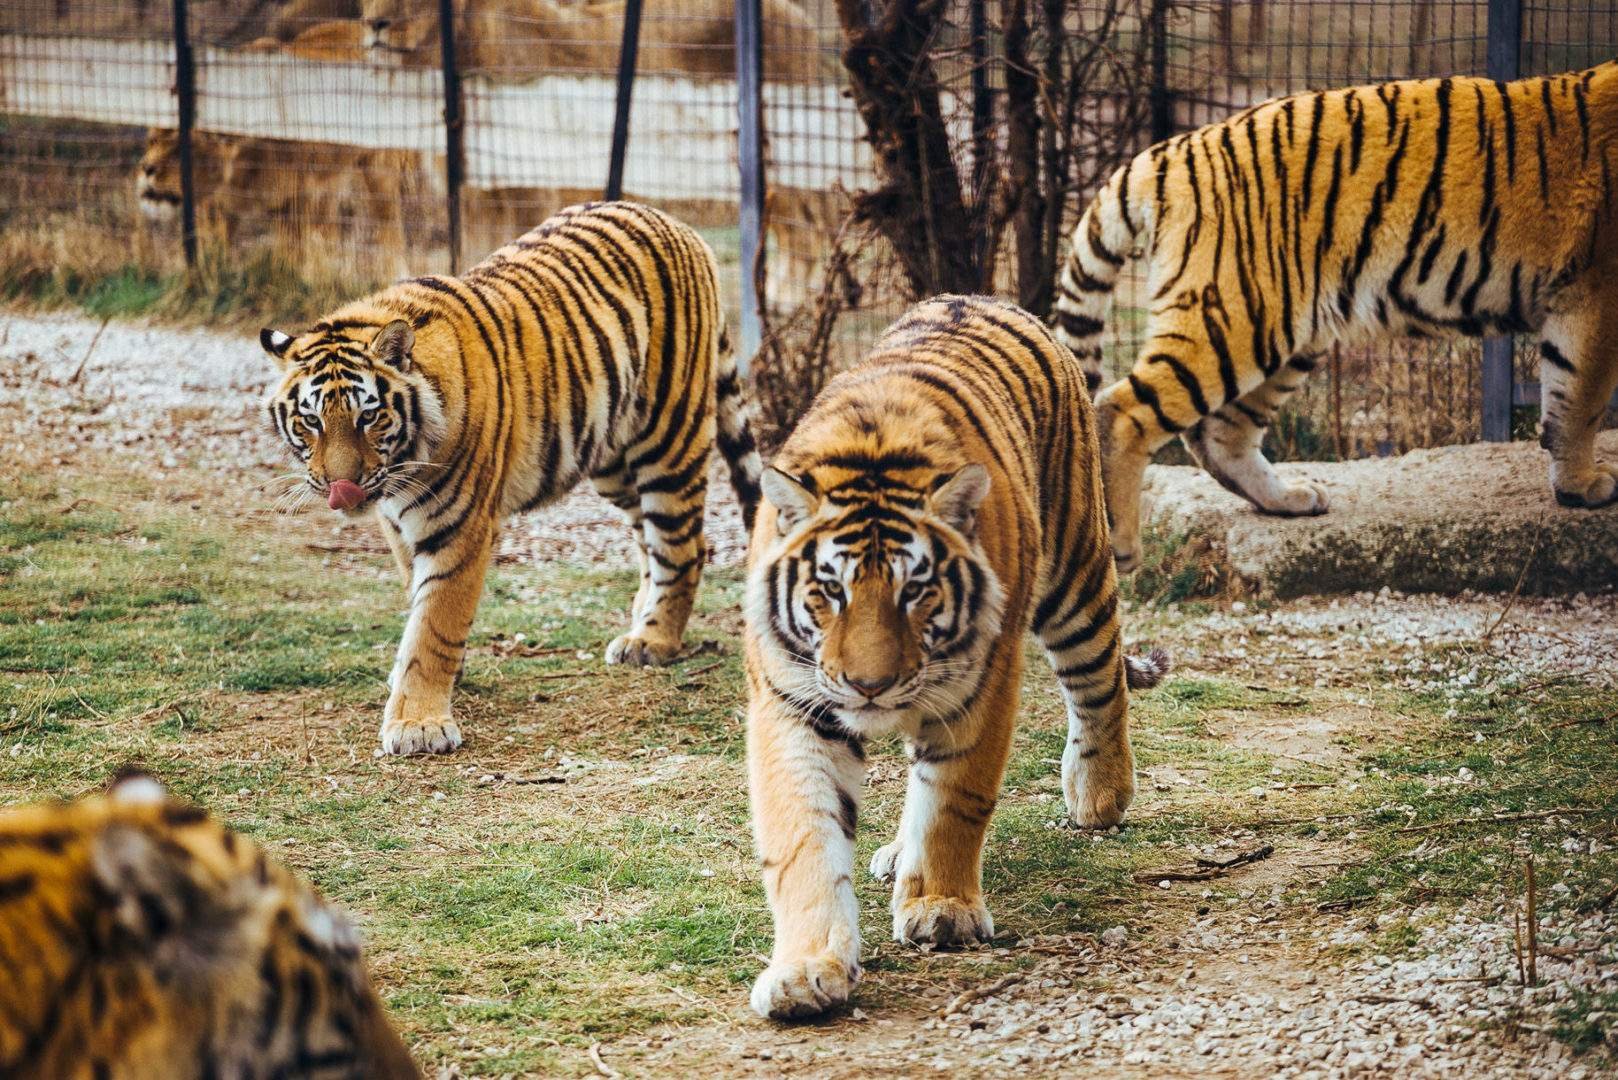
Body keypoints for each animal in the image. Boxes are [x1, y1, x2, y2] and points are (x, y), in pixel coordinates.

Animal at [262, 204, 766, 761]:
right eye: (311, 420)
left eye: (368, 416)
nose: (342, 486)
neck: (400, 468)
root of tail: (678, 224)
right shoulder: (398, 526)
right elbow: (418, 598)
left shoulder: (457, 527)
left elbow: (433, 623)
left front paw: (418, 723)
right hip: (611, 459)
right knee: (647, 537)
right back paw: (640, 615)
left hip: (667, 439)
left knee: (686, 545)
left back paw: (652, 641)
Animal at [741, 296, 1171, 1023]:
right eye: (831, 590)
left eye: (915, 590)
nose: (869, 686)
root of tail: (985, 299)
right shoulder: (792, 703)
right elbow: (804, 836)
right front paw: (806, 969)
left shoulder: (980, 688)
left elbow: (952, 802)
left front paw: (941, 909)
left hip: (1075, 575)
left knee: (1100, 679)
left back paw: (1099, 796)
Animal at [1048, 61, 1618, 573]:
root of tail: (1178, 148)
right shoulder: (1595, 293)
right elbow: (1581, 399)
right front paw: (1583, 486)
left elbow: (1564, 396)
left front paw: (1572, 484)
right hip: (1235, 319)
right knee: (1119, 411)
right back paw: (1122, 546)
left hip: (1285, 332)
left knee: (1221, 435)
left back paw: (1289, 499)